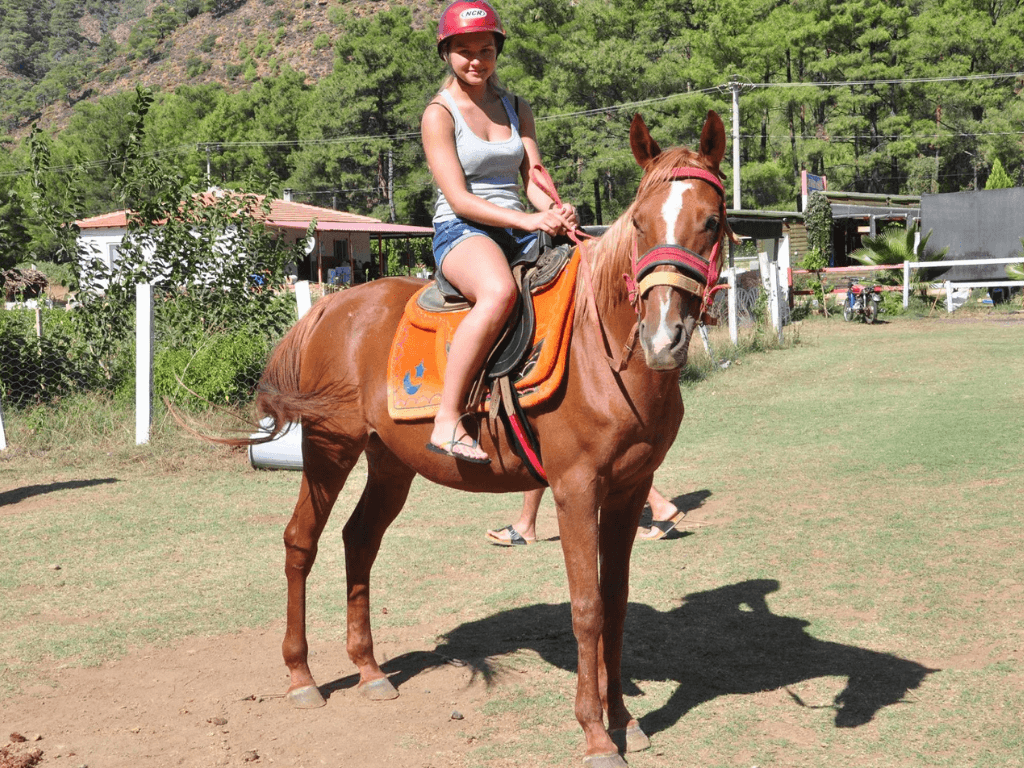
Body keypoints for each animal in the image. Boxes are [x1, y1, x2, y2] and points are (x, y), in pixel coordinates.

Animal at [249, 110, 733, 767]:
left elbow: (615, 603)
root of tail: (331, 308)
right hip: (329, 450)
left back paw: (370, 669)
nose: (664, 338)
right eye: (639, 222)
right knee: (301, 540)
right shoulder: (576, 489)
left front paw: (625, 720)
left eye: (710, 220)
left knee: (359, 541)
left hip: (389, 461)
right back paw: (302, 677)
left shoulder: (629, 489)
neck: (602, 348)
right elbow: (587, 609)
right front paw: (595, 733)